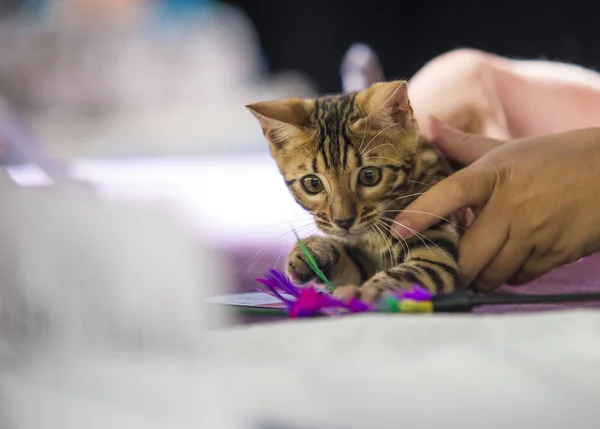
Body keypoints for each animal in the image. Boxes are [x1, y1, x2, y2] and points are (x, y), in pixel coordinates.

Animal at [246, 79, 466, 300]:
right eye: (313, 184)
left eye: (369, 176)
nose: (344, 221)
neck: (372, 239)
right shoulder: (362, 264)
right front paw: (312, 250)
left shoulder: (435, 253)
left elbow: (410, 275)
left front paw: (370, 292)